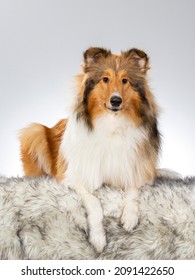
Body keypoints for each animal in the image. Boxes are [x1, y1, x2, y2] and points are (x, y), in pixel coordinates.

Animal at [19, 47, 161, 253]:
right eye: (105, 79)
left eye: (125, 80)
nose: (116, 101)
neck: (112, 124)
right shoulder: (72, 178)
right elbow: (94, 202)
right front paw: (98, 238)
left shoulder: (136, 170)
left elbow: (134, 191)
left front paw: (129, 217)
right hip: (34, 132)